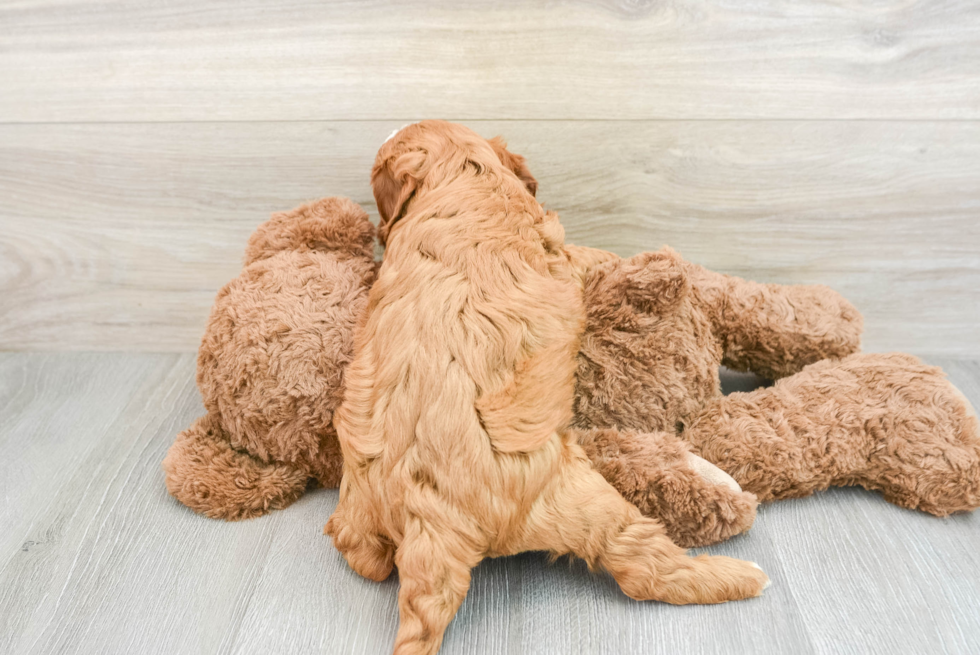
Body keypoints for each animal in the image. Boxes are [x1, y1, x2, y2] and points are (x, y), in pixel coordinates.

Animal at [326, 123, 768, 655]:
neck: (462, 173)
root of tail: (430, 518)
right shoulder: (557, 246)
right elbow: (587, 256)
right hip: (583, 500)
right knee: (644, 567)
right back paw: (741, 574)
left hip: (357, 503)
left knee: (358, 551)